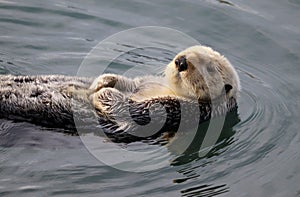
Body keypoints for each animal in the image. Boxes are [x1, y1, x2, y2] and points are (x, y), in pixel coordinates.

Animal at [0, 45, 240, 142]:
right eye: (186, 52)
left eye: (210, 68)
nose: (181, 61)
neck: (169, 89)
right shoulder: (142, 82)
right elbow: (128, 83)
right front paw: (104, 81)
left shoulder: (181, 111)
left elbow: (132, 111)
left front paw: (102, 92)